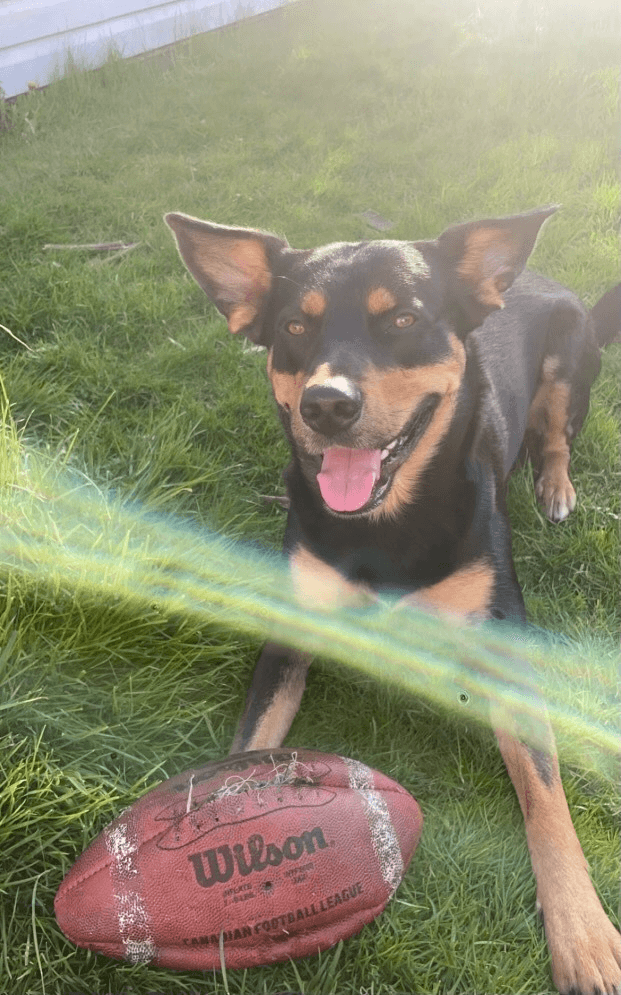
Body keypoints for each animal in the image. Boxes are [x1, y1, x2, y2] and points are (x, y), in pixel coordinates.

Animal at [165, 206, 621, 995]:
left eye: (403, 318)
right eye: (295, 326)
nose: (325, 403)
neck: (385, 521)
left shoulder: (504, 647)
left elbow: (547, 795)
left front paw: (583, 931)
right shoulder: (291, 632)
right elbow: (244, 752)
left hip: (570, 360)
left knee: (556, 435)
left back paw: (556, 486)